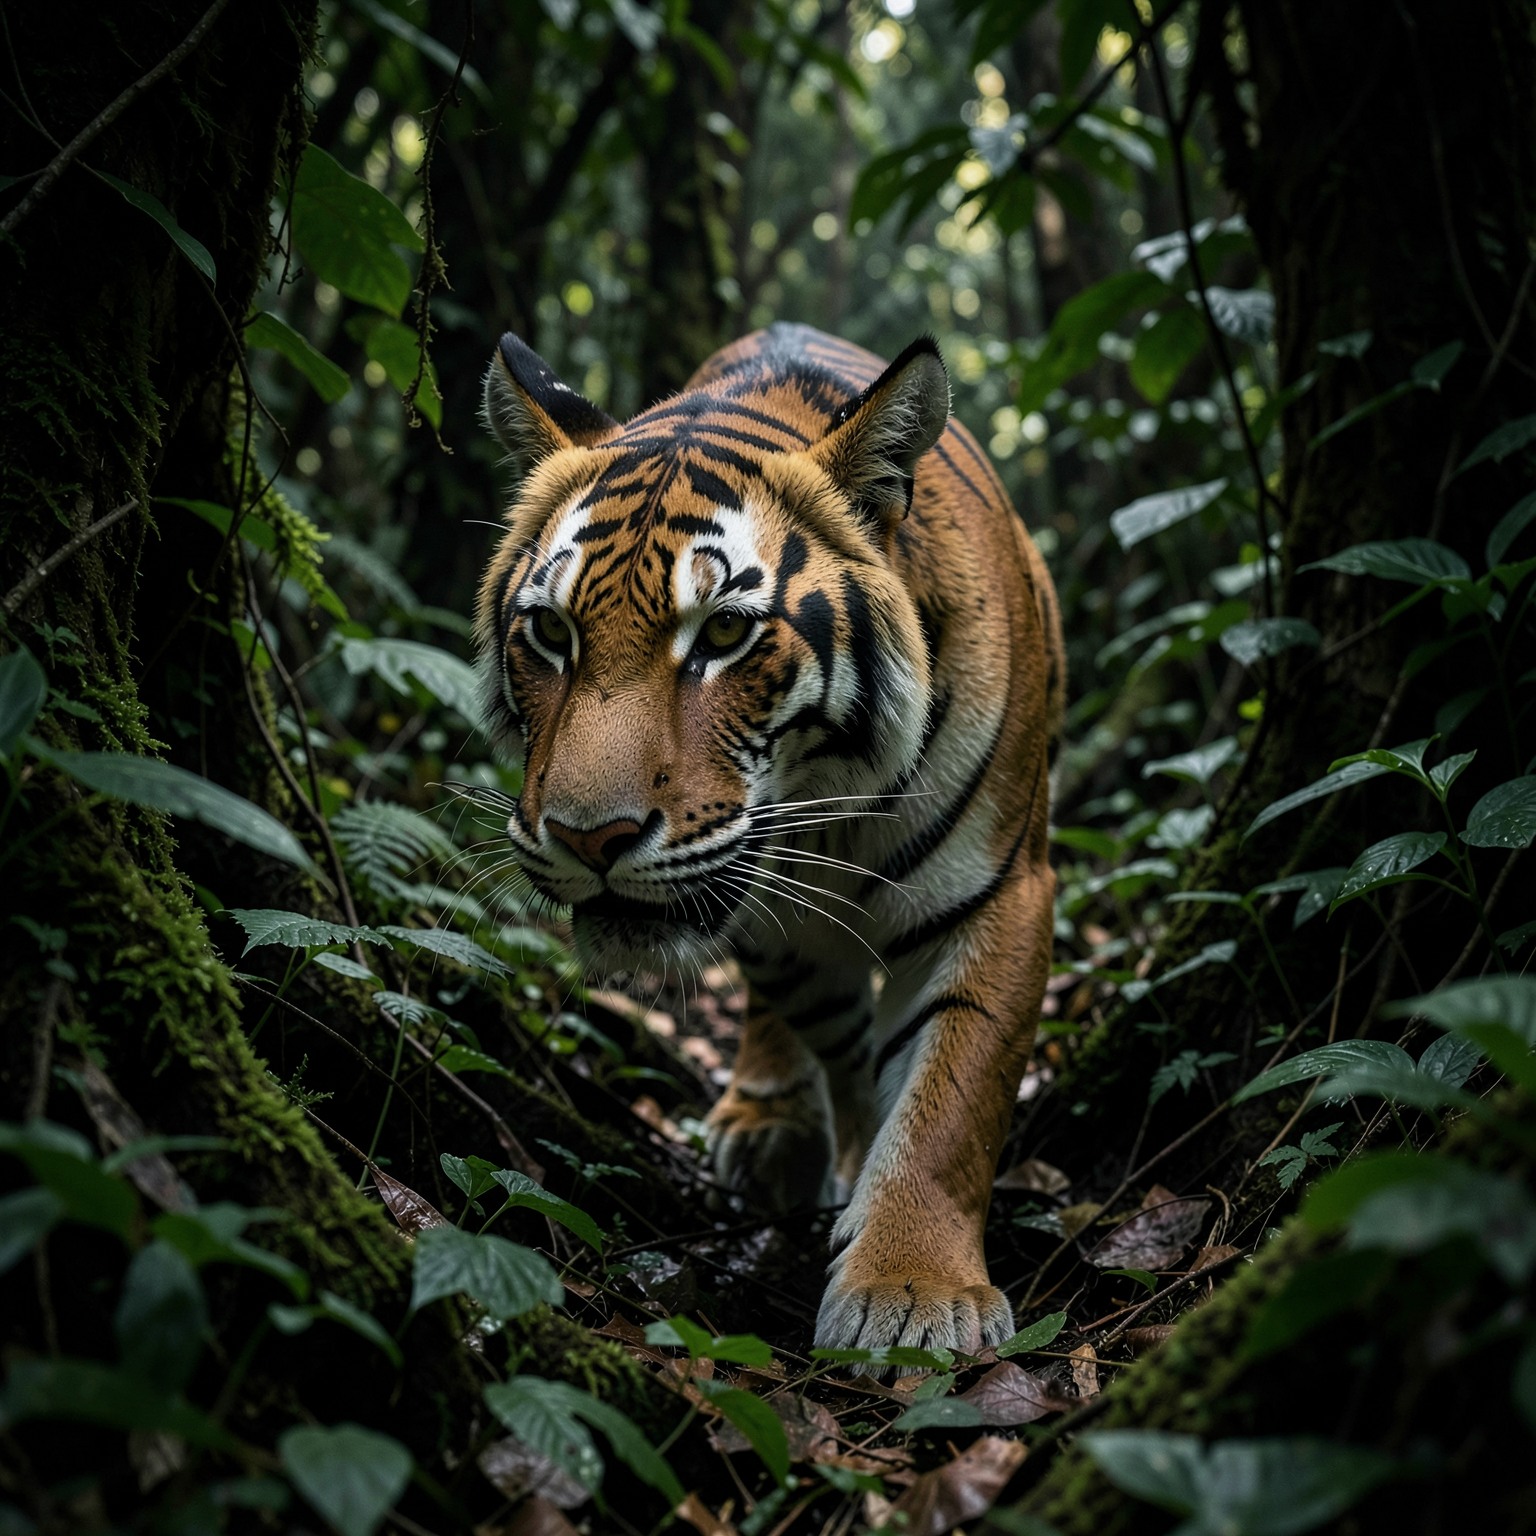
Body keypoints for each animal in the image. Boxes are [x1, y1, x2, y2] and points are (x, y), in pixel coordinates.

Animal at [476, 322, 1063, 1357]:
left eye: (721, 636)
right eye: (549, 631)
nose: (591, 840)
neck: (829, 796)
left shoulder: (1000, 892)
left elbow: (953, 1099)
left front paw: (913, 1292)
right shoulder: (778, 931)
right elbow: (857, 1062)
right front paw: (855, 1181)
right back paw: (772, 1120)